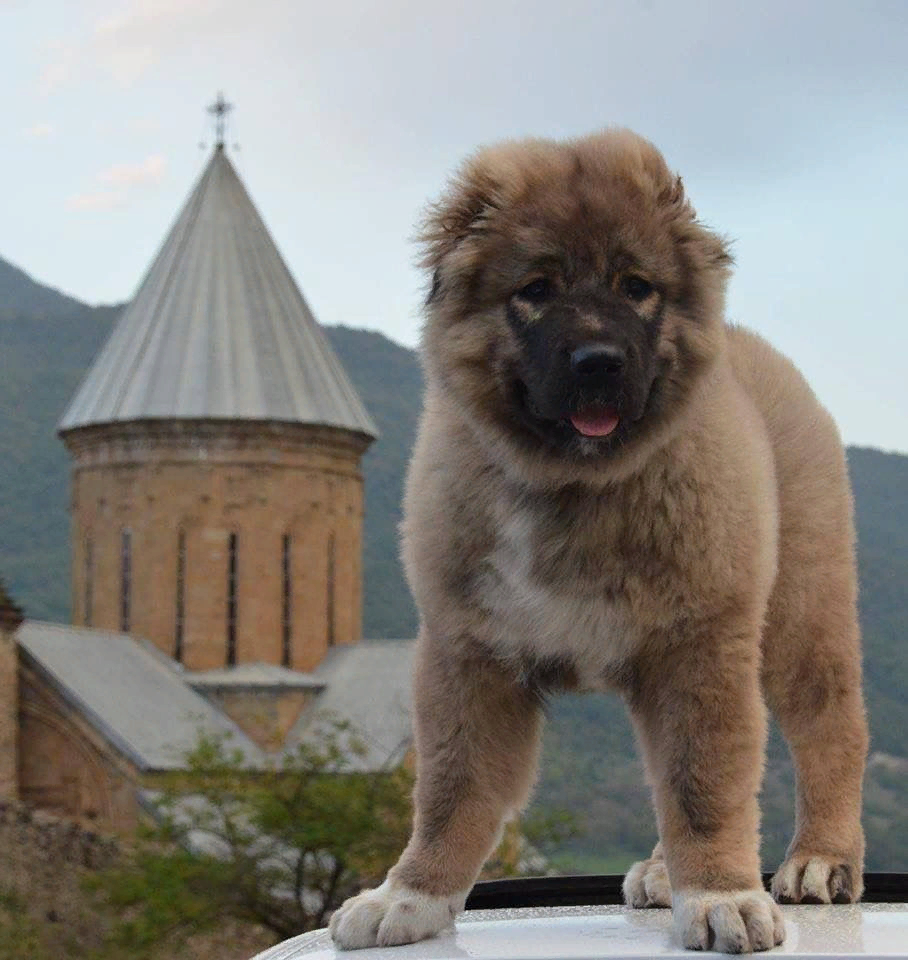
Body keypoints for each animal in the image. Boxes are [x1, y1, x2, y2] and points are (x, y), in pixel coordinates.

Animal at [328, 127, 864, 952]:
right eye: (536, 289)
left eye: (635, 286)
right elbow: (450, 791)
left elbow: (703, 784)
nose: (599, 362)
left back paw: (819, 859)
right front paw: (410, 897)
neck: (574, 486)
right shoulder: (468, 653)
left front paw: (720, 896)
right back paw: (664, 872)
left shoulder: (700, 644)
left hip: (801, 611)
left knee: (832, 729)